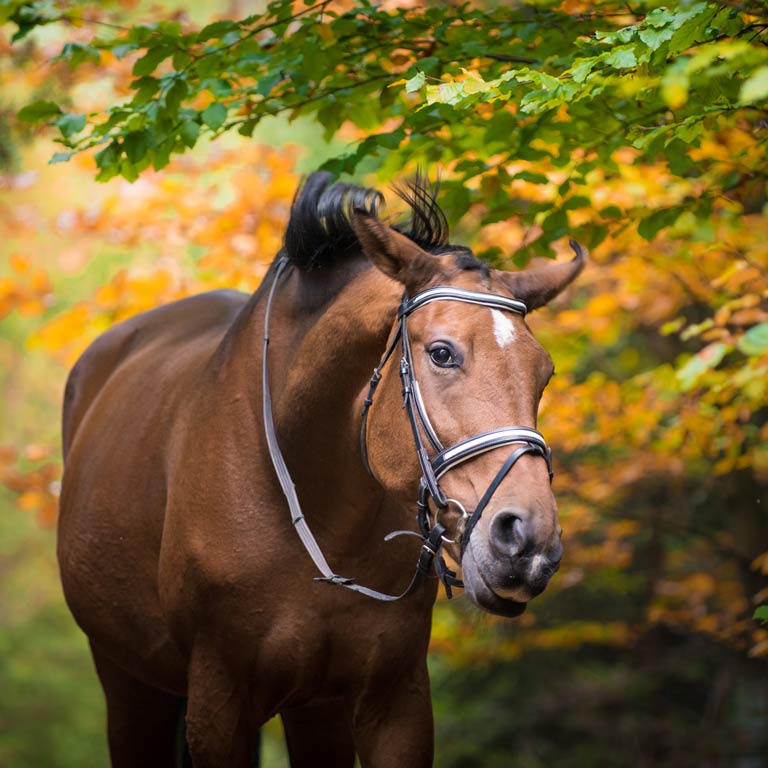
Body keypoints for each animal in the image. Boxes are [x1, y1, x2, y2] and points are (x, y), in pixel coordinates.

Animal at [58, 171, 584, 764]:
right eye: (442, 353)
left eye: (543, 373)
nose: (527, 541)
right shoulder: (218, 706)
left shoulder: (394, 703)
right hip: (127, 680)